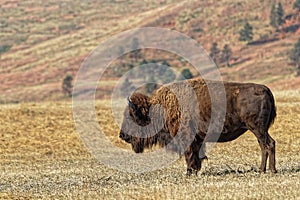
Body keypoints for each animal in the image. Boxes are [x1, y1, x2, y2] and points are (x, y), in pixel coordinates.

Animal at [119, 78, 276, 175]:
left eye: (131, 116)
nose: (122, 135)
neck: (161, 108)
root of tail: (265, 89)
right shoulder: (197, 140)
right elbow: (195, 156)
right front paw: (194, 171)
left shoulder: (186, 138)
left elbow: (190, 155)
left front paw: (189, 172)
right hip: (259, 130)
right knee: (266, 145)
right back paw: (264, 170)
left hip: (257, 128)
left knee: (268, 144)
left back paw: (268, 170)